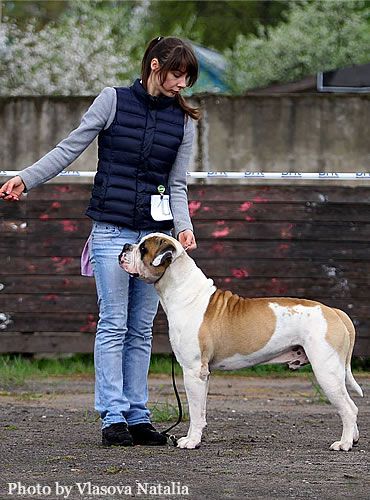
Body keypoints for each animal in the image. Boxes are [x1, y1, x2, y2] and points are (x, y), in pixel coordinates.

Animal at [119, 232, 364, 452]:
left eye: (143, 249)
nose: (125, 247)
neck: (184, 292)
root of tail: (333, 311)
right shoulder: (203, 374)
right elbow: (201, 411)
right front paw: (194, 437)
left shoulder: (193, 371)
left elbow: (194, 412)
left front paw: (191, 442)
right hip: (335, 371)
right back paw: (353, 439)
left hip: (326, 371)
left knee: (349, 408)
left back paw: (343, 444)